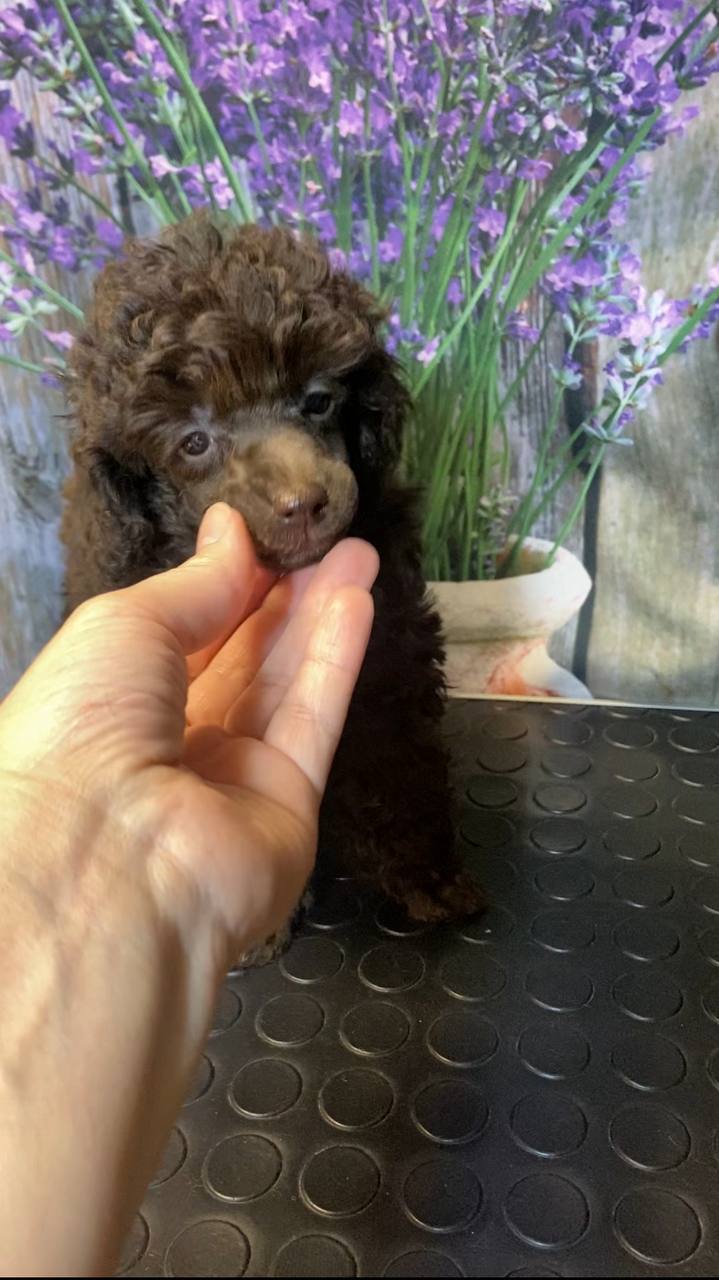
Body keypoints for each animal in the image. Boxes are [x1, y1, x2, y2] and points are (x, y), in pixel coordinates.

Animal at [61, 214, 483, 952]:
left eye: (317, 401)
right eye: (194, 442)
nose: (303, 503)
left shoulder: (391, 649)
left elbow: (398, 763)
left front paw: (427, 877)